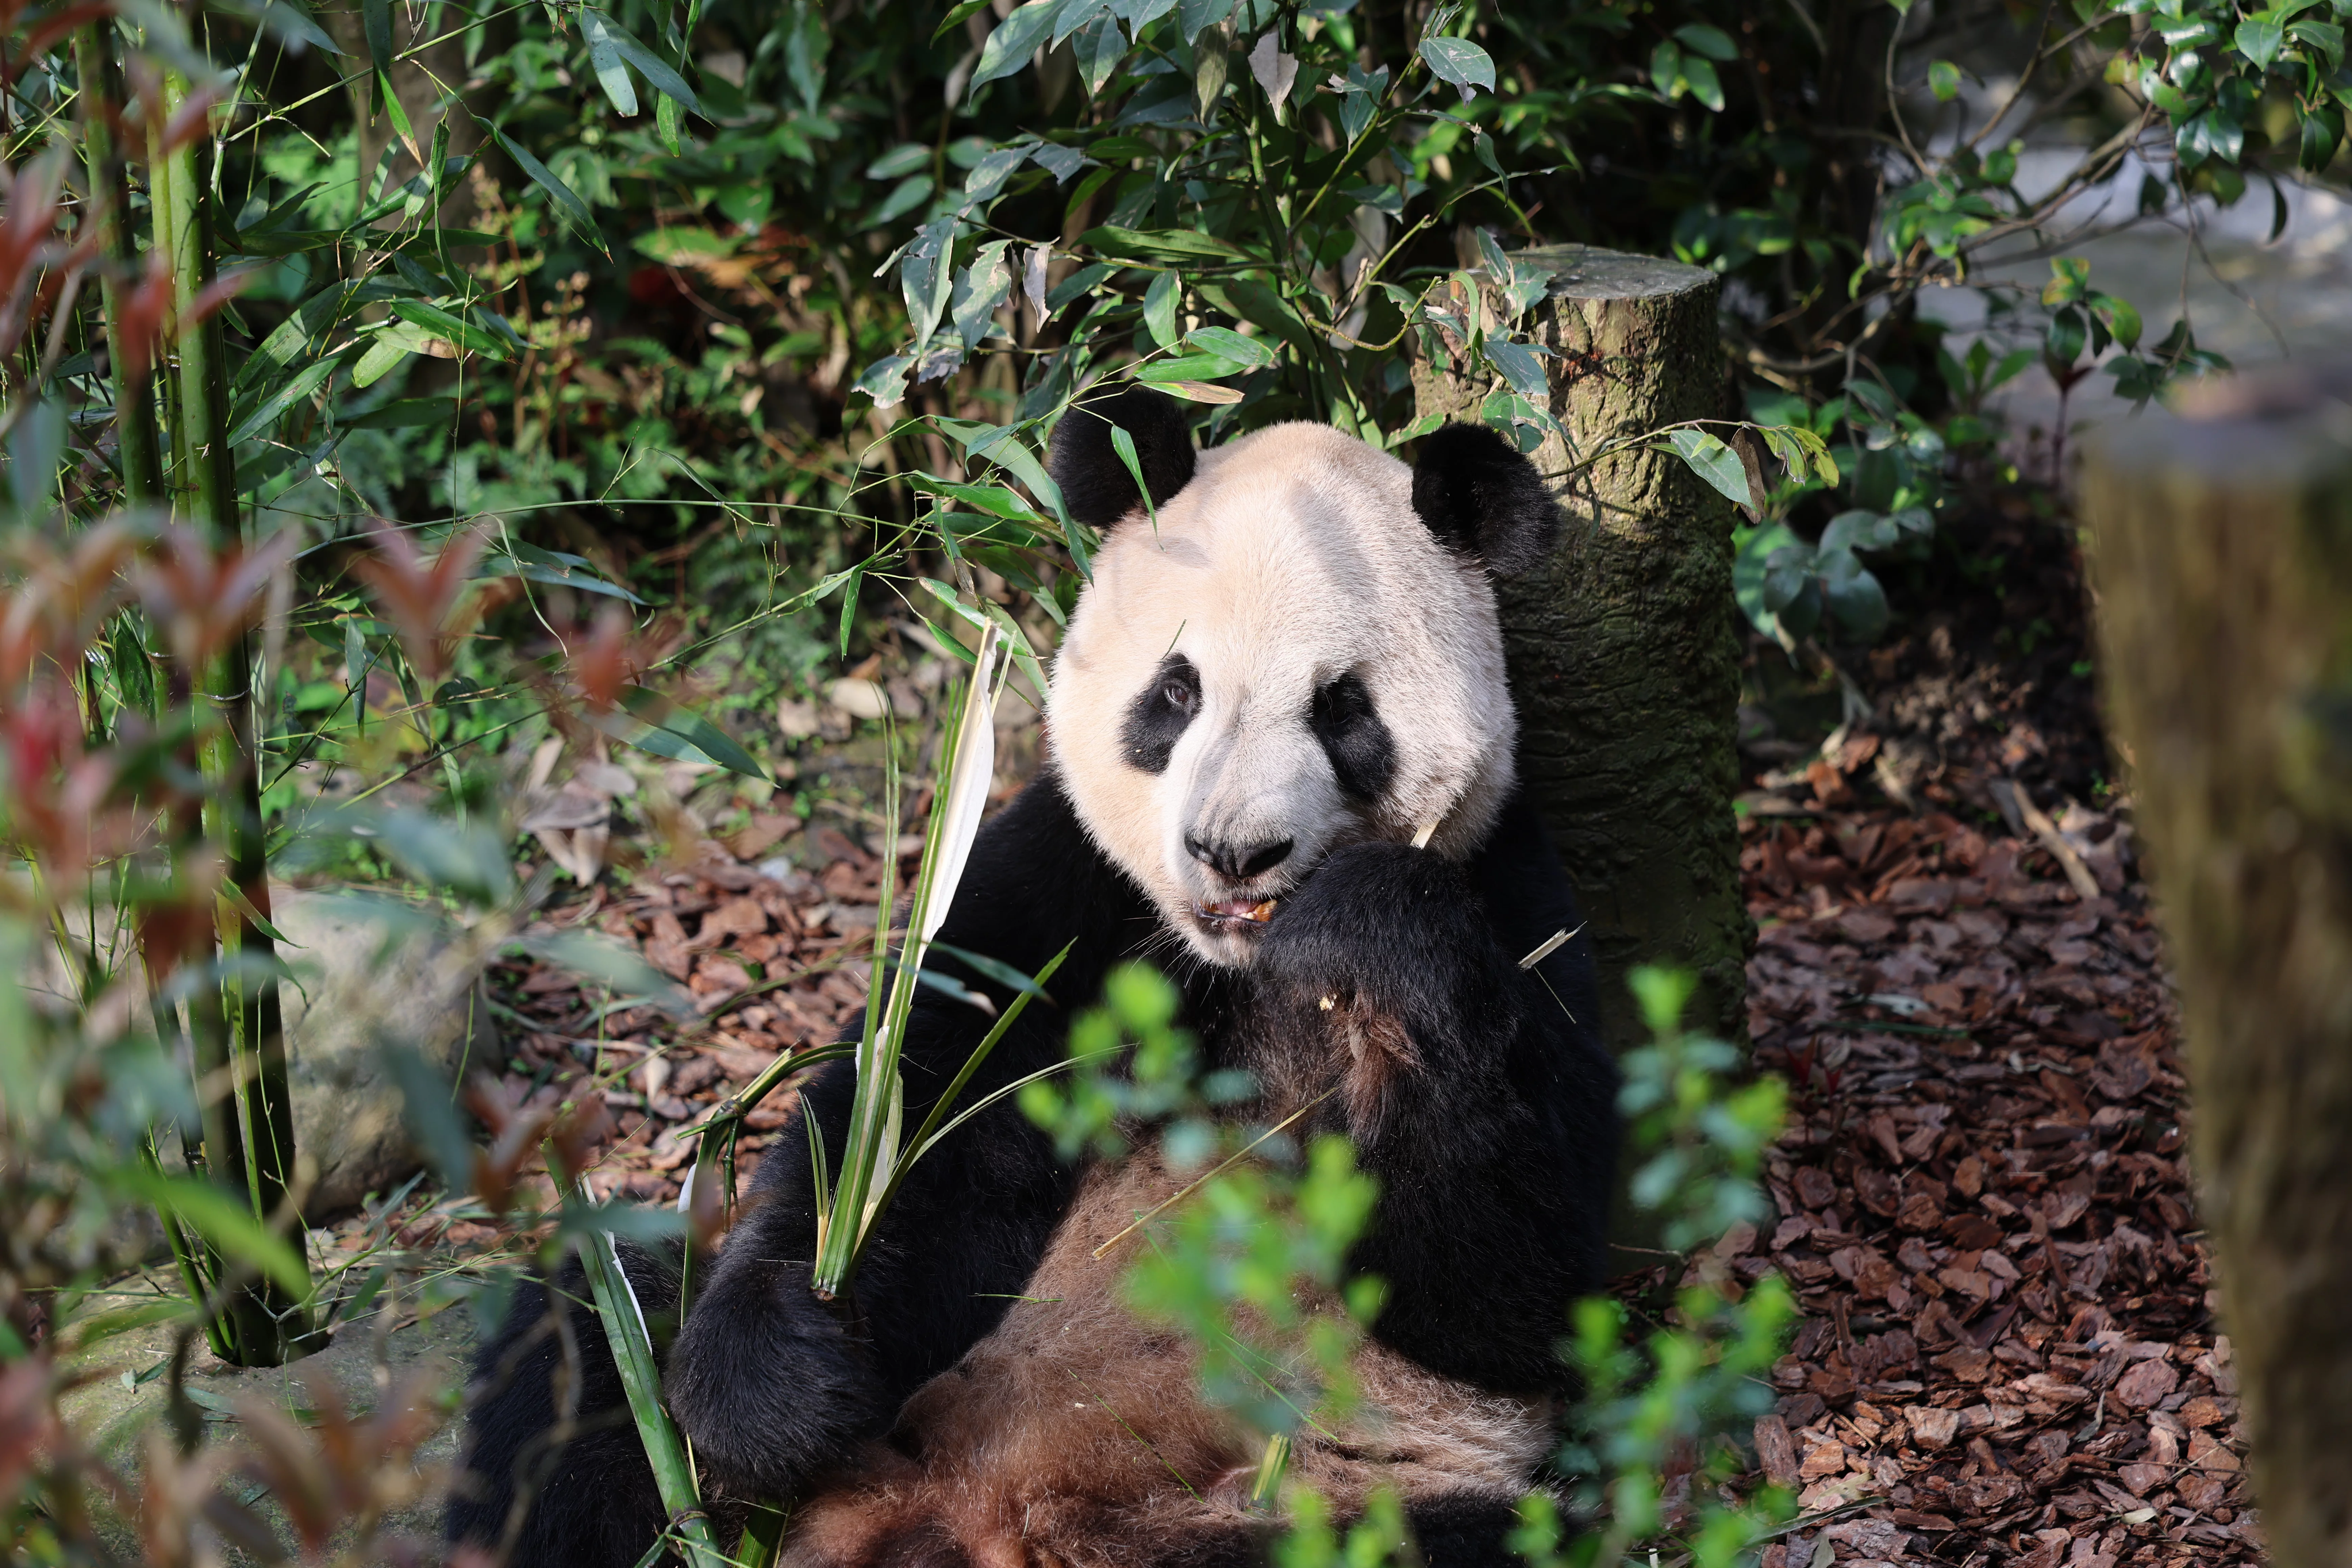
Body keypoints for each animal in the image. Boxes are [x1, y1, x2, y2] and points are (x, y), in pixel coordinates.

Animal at [447, 386, 1622, 1568]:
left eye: (1343, 708)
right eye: (1175, 694)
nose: (1233, 853)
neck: (1237, 963)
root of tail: (974, 1517)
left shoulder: (1515, 892)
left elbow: (1517, 1283)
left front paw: (1368, 928)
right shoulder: (1056, 890)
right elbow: (901, 1119)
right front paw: (782, 1382)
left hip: (1327, 1503)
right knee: (593, 1336)